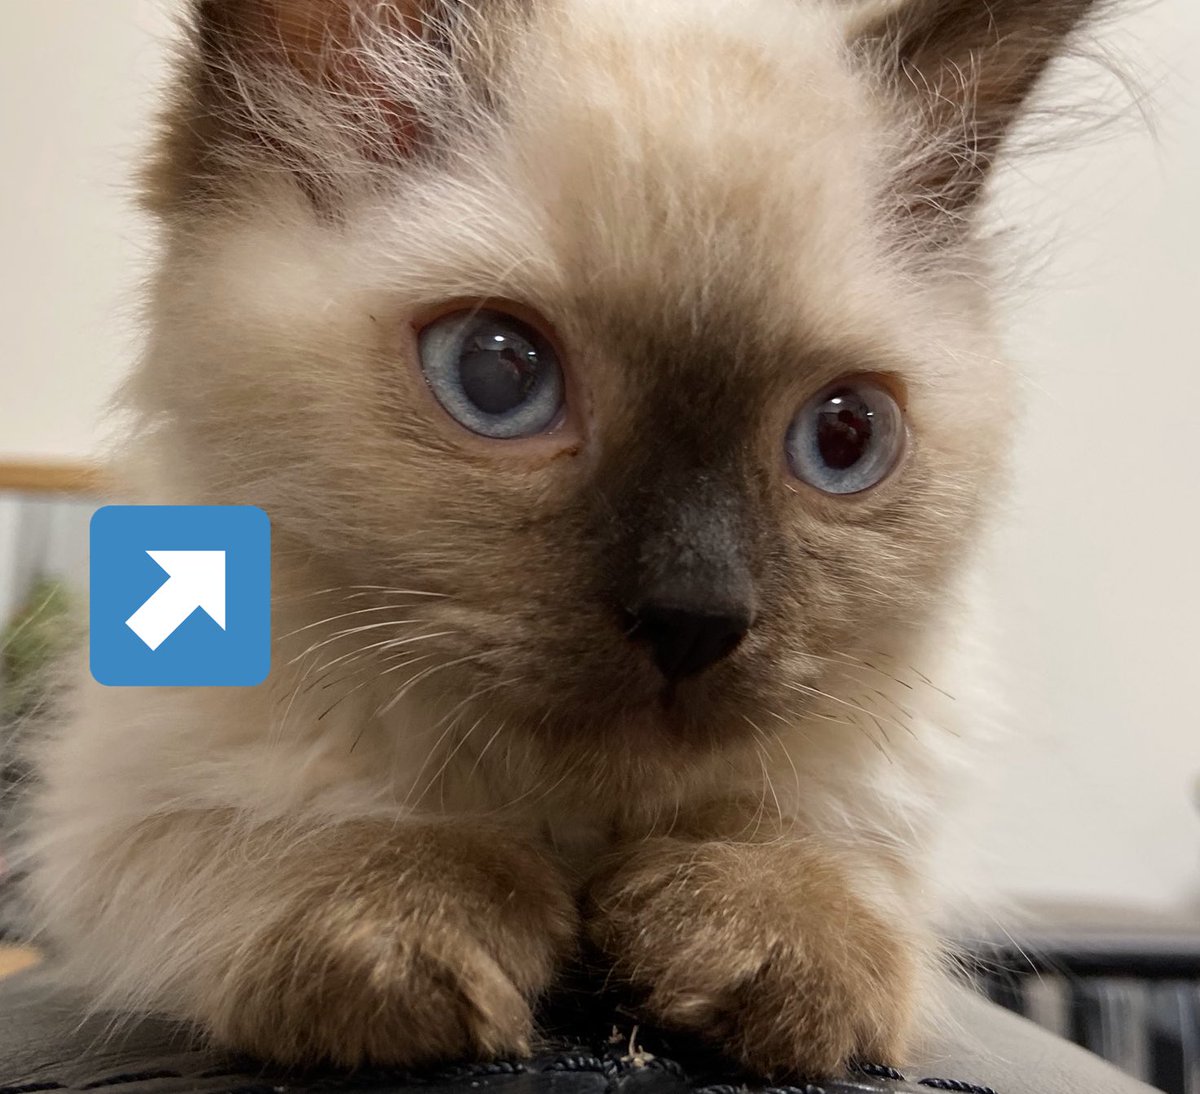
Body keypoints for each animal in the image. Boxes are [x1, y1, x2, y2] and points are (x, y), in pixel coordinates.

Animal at [27, 0, 1103, 1079]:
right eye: (498, 373)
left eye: (844, 437)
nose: (693, 617)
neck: (577, 828)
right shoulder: (120, 817)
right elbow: (291, 836)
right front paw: (403, 933)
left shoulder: (877, 820)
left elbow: (814, 866)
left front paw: (756, 949)